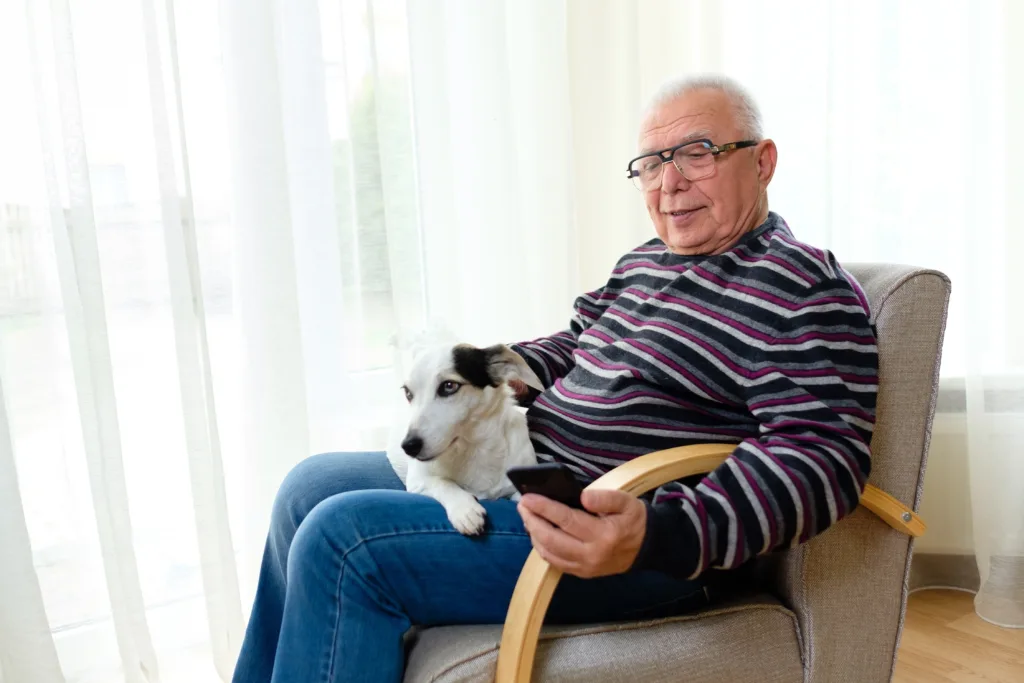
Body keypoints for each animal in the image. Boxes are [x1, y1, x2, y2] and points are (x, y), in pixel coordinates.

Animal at [385, 342, 544, 532]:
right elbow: (443, 482)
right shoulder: (418, 481)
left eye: (449, 386)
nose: (409, 446)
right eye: (408, 393)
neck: (475, 447)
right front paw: (465, 508)